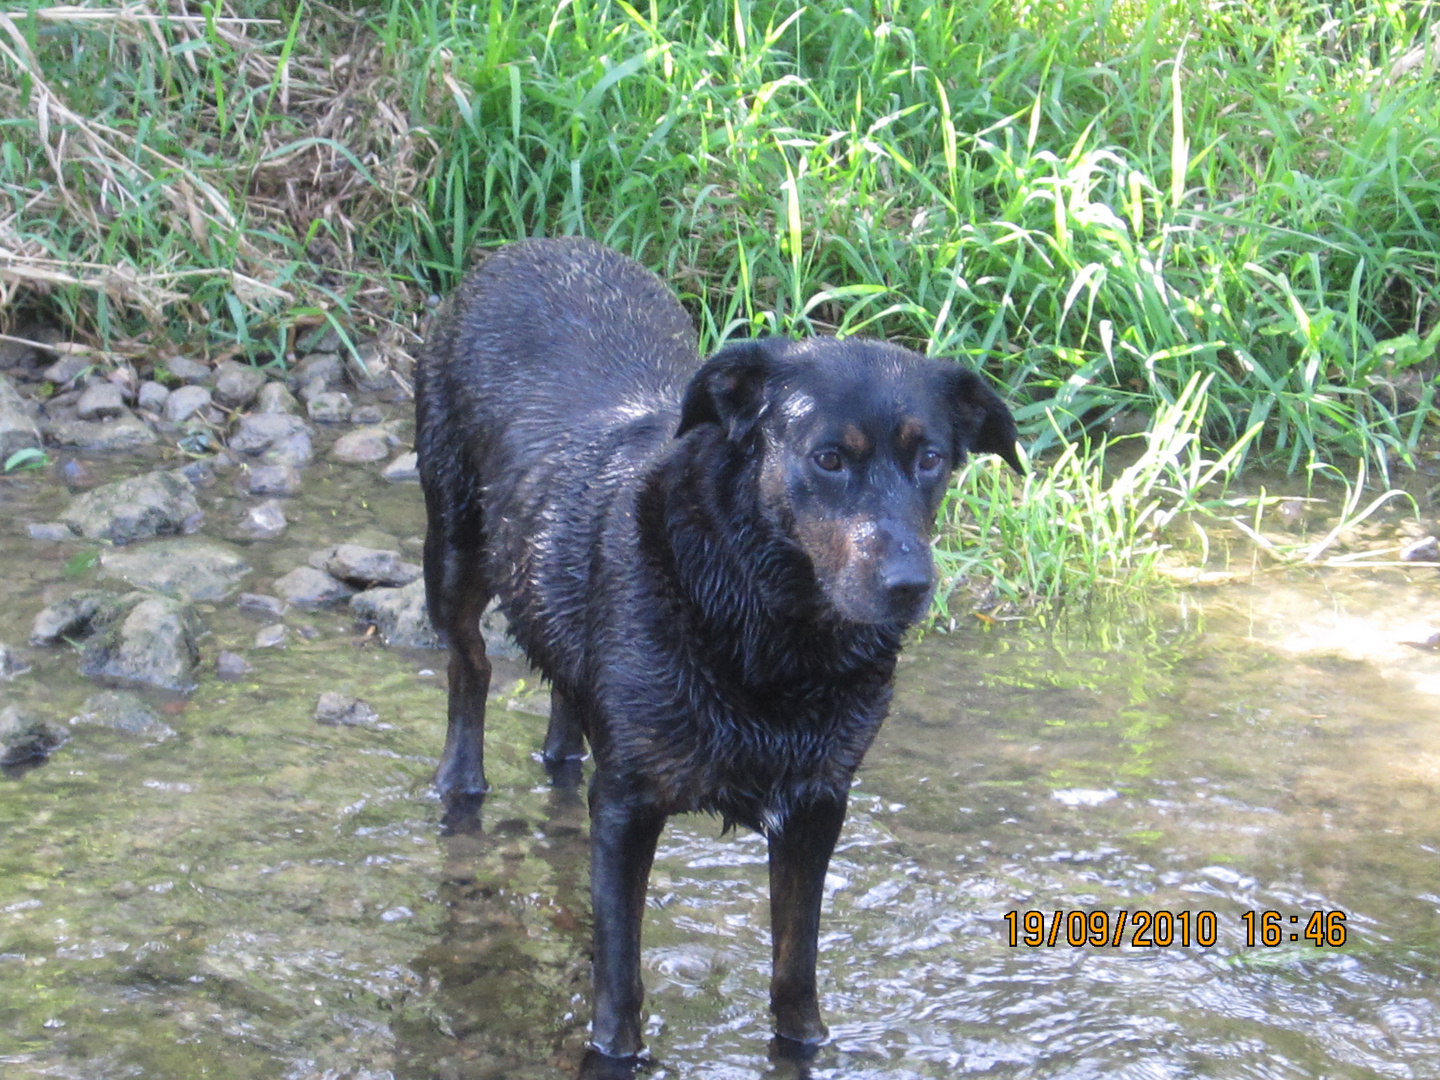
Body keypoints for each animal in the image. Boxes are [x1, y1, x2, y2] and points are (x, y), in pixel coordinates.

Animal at [414, 239, 1025, 1077]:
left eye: (930, 457)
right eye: (829, 458)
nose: (908, 584)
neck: (771, 633)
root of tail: (531, 247)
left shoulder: (817, 805)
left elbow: (795, 973)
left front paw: (805, 1045)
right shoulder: (629, 807)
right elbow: (620, 985)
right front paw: (613, 1050)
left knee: (564, 691)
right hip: (451, 545)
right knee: (469, 665)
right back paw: (460, 782)